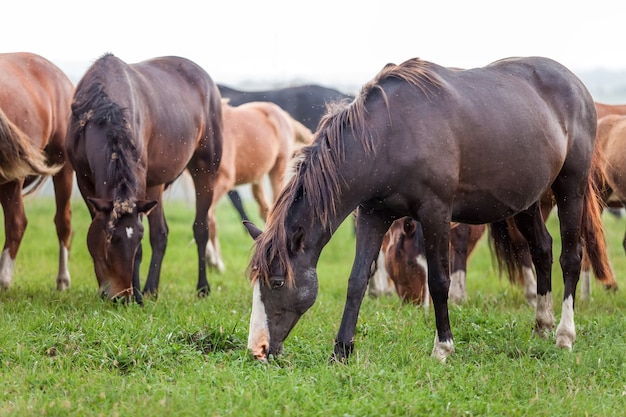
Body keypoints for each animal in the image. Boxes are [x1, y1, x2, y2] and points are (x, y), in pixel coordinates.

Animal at [65, 54, 222, 302]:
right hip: (155, 184)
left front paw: (136, 296)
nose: (120, 297)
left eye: (137, 238)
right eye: (110, 239)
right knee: (160, 234)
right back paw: (151, 289)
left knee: (201, 228)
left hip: (205, 171)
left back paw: (202, 288)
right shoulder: (83, 179)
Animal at [206, 99, 310, 272]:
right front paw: (212, 260)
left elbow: (207, 217)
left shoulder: (224, 180)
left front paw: (216, 262)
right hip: (258, 178)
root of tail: (283, 115)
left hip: (278, 170)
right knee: (265, 210)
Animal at [241, 57, 612, 362]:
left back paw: (564, 335)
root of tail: (577, 85)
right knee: (542, 250)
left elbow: (438, 280)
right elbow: (357, 279)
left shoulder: (436, 213)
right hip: (526, 201)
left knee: (570, 257)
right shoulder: (373, 215)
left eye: (277, 281)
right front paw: (341, 351)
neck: (386, 136)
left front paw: (443, 347)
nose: (258, 349)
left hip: (571, 188)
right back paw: (542, 323)